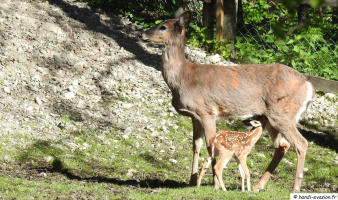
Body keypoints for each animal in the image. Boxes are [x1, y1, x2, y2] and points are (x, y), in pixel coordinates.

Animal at [138, 8, 314, 192]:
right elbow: (196, 146)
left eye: (162, 27)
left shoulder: (207, 112)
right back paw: (258, 186)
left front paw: (215, 183)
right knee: (282, 146)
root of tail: (309, 86)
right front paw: (192, 181)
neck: (183, 78)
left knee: (301, 143)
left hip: (282, 112)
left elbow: (210, 145)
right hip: (272, 116)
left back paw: (295, 188)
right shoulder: (194, 115)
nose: (141, 33)